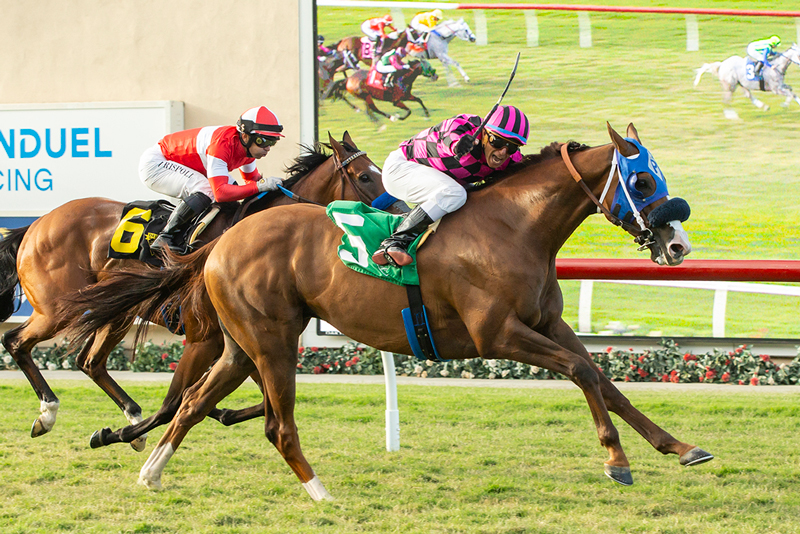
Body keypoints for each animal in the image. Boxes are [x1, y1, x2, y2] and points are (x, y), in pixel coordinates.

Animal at [0, 132, 388, 450]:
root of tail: (35, 225)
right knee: (16, 341)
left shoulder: (241, 338)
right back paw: (48, 413)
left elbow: (260, 398)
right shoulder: (213, 336)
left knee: (89, 362)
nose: (398, 210)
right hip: (58, 307)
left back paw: (131, 417)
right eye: (365, 176)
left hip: (116, 311)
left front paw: (218, 411)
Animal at [64, 123, 712, 500]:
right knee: (272, 422)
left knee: (195, 402)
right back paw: (322, 495)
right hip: (269, 340)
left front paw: (679, 446)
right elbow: (580, 372)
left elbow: (603, 378)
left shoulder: (546, 323)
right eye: (643, 181)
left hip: (240, 343)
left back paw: (151, 469)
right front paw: (617, 460)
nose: (678, 245)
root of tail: (219, 243)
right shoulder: (496, 334)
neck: (514, 228)